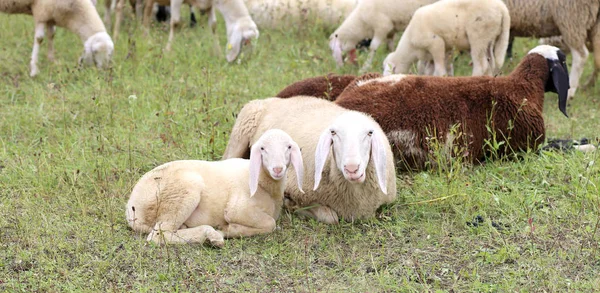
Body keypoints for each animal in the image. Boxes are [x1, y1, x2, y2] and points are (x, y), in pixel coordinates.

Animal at [126, 129, 304, 245]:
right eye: (262, 148)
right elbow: (270, 224)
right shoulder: (238, 209)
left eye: (289, 147)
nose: (278, 169)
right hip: (182, 192)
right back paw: (211, 235)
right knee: (158, 235)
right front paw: (230, 229)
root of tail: (131, 208)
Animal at [223, 97, 396, 222]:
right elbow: (330, 217)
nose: (352, 168)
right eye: (333, 133)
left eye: (369, 133)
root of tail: (276, 98)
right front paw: (293, 205)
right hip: (240, 135)